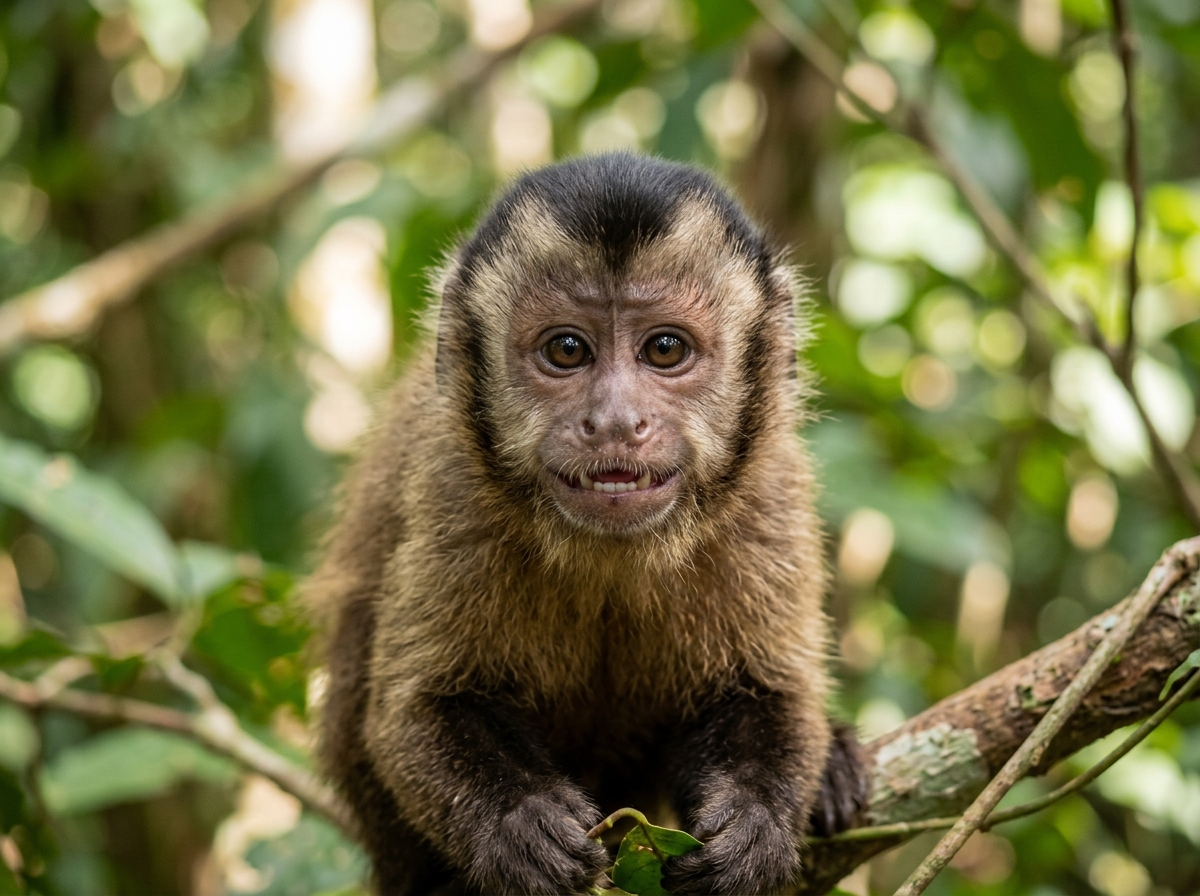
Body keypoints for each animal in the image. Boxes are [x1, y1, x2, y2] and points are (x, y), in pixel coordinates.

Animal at [306, 152, 866, 896]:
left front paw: (751, 822)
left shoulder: (768, 498)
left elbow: (770, 690)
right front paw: (519, 823)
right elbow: (413, 712)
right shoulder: (453, 487)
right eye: (567, 350)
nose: (615, 421)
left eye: (665, 350)